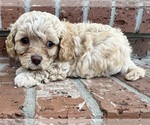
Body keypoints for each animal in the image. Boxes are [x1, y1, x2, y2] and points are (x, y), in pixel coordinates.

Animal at [5, 10, 145, 87]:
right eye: (24, 41)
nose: (36, 60)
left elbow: (43, 71)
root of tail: (127, 56)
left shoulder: (60, 66)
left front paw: (23, 77)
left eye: (50, 44)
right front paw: (22, 69)